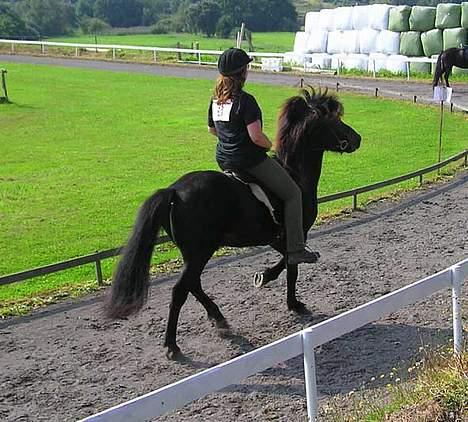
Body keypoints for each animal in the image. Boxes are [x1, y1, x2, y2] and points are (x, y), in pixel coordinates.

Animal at [106, 89, 362, 360]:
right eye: (334, 120)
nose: (357, 138)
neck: (295, 174)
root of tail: (174, 191)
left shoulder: (276, 238)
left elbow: (286, 262)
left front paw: (266, 278)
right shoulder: (295, 232)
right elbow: (292, 266)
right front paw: (291, 302)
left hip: (194, 253)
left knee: (193, 284)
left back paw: (219, 319)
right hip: (201, 251)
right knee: (180, 291)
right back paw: (172, 346)